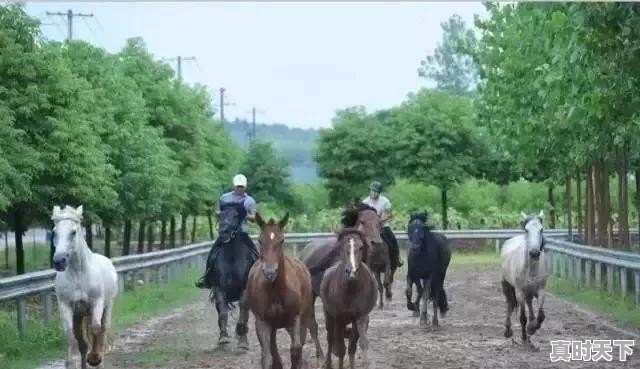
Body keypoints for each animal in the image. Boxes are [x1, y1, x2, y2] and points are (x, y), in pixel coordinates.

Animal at [52, 206, 119, 366]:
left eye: (73, 232)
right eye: (54, 232)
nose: (59, 261)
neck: (78, 275)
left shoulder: (97, 302)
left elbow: (95, 329)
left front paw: (94, 358)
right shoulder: (66, 305)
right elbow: (71, 336)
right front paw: (69, 363)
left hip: (107, 307)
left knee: (102, 332)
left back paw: (98, 360)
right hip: (79, 315)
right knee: (82, 344)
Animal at [208, 201, 255, 348]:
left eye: (235, 216)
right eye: (221, 215)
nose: (224, 232)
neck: (232, 258)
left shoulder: (245, 289)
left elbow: (243, 311)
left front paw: (242, 338)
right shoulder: (219, 288)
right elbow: (223, 313)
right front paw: (223, 337)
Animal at [248, 211, 322, 368]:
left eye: (281, 240)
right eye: (260, 240)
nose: (270, 272)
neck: (275, 291)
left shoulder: (294, 317)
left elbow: (296, 348)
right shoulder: (262, 321)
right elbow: (267, 357)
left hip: (307, 310)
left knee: (311, 328)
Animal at [318, 227, 376, 368]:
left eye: (361, 247)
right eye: (341, 247)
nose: (351, 272)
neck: (351, 289)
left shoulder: (360, 317)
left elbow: (355, 346)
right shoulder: (338, 318)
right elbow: (340, 349)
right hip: (329, 316)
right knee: (330, 339)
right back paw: (328, 363)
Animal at [500, 208, 544, 346]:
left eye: (541, 229)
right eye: (526, 230)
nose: (534, 253)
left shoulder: (541, 290)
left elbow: (541, 315)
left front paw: (532, 328)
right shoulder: (520, 292)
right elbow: (522, 317)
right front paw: (524, 336)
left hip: (529, 292)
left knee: (529, 304)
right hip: (507, 285)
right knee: (510, 304)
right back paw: (508, 331)